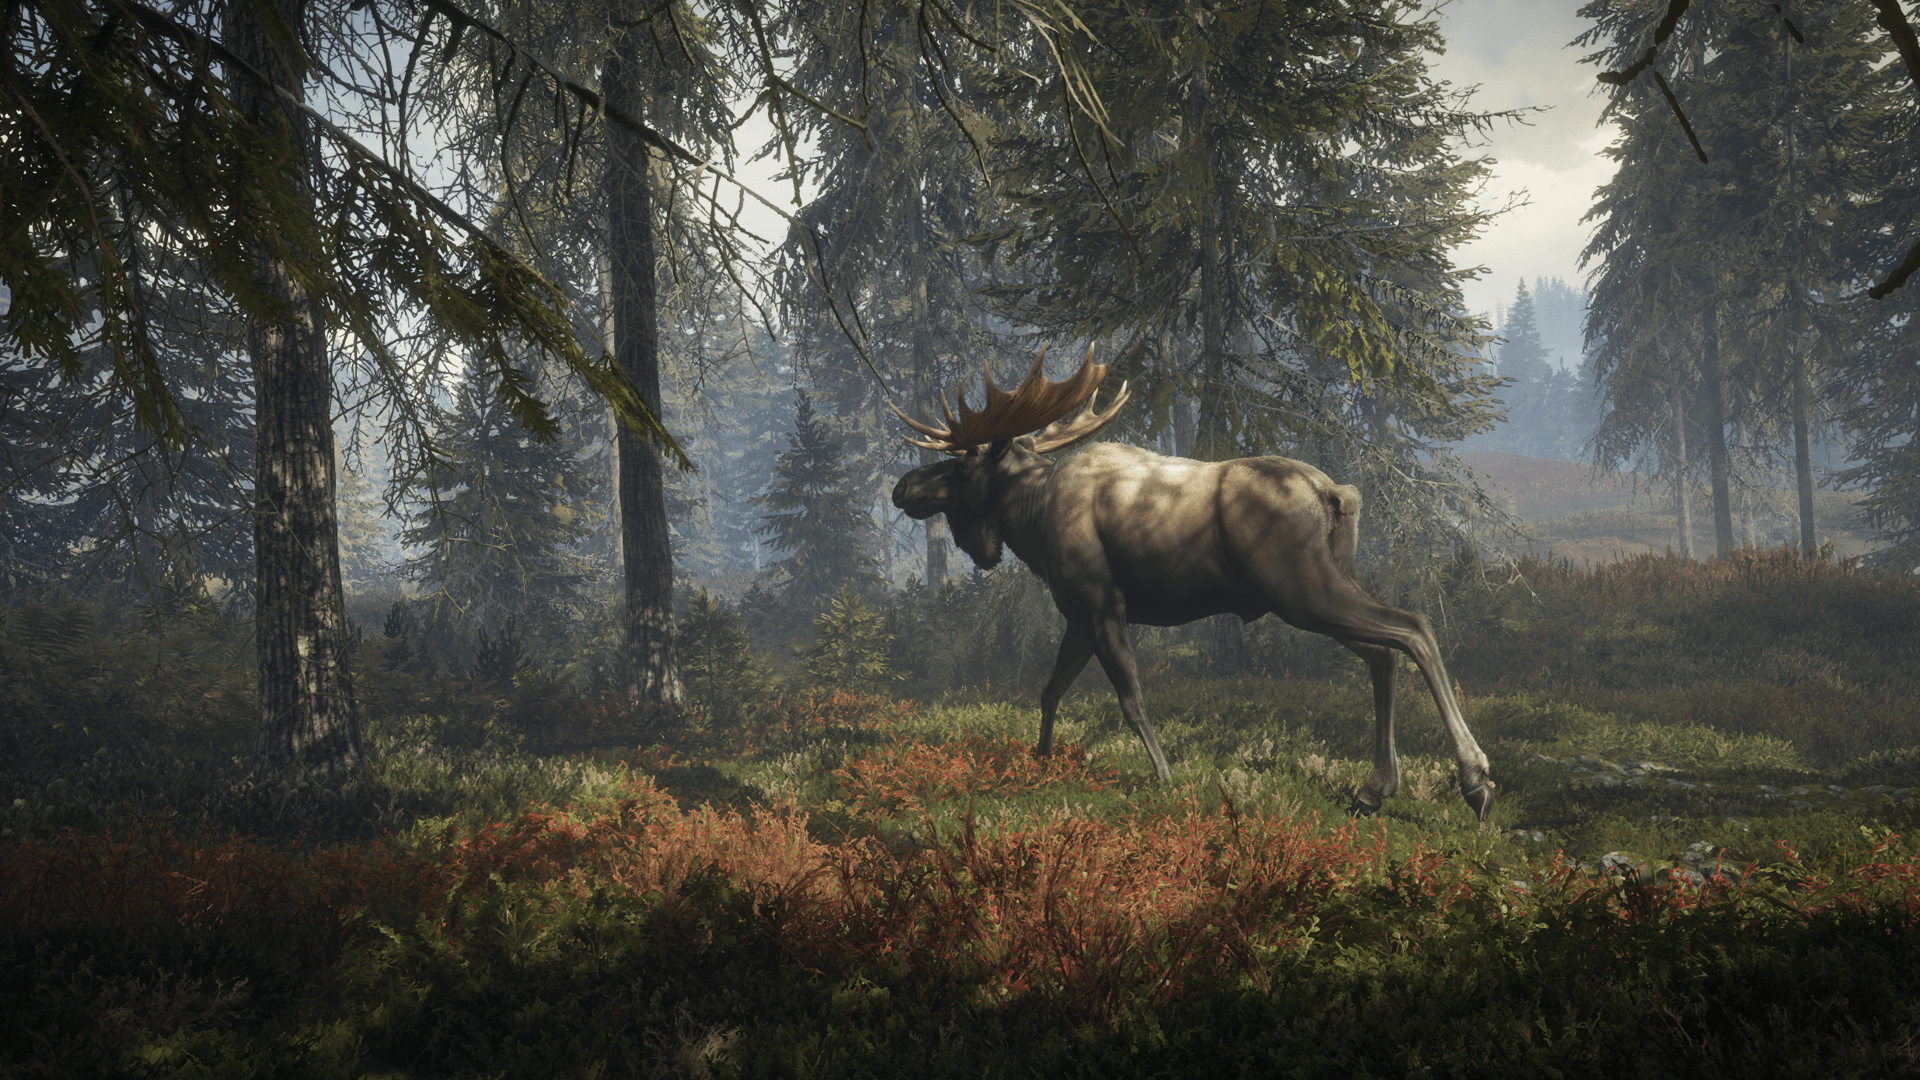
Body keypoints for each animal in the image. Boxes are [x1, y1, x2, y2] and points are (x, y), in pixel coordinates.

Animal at [889, 345, 1495, 821]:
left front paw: (1165, 777)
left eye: (960, 465)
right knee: (1382, 652)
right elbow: (1050, 689)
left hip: (1301, 590)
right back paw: (1374, 789)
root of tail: (1336, 495)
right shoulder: (1079, 615)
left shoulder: (1101, 602)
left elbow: (1131, 700)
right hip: (1325, 583)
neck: (1031, 522)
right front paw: (1038, 763)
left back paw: (1475, 779)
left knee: (1412, 627)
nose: (901, 487)